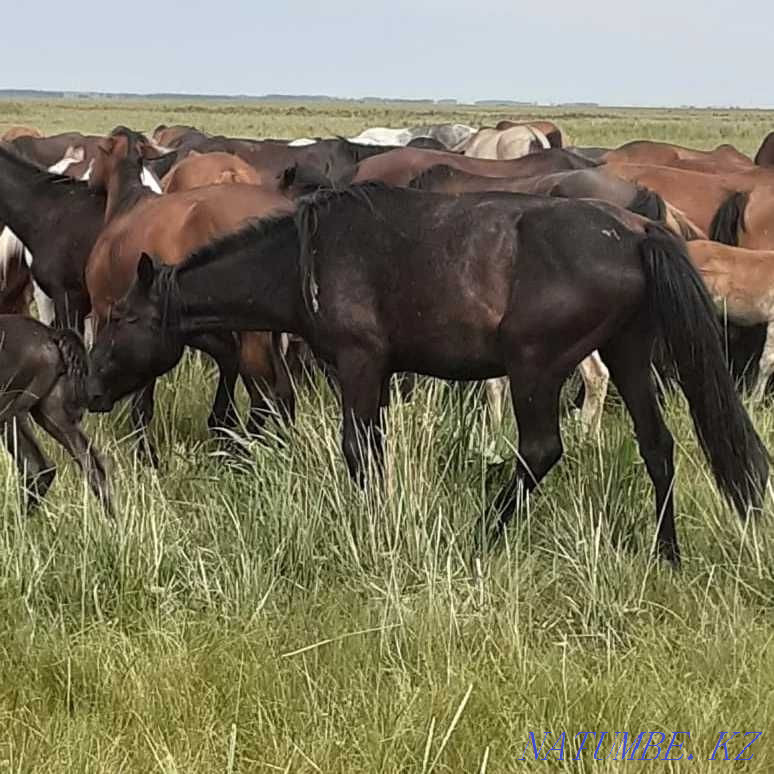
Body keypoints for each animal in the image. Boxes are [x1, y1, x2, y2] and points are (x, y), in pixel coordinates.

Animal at [86, 184, 768, 567]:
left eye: (120, 317)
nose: (89, 390)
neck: (304, 257)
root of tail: (635, 231)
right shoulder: (380, 376)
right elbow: (373, 448)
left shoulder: (360, 365)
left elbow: (358, 450)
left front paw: (369, 523)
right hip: (627, 355)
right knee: (657, 446)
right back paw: (667, 554)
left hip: (536, 365)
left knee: (540, 449)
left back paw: (484, 535)